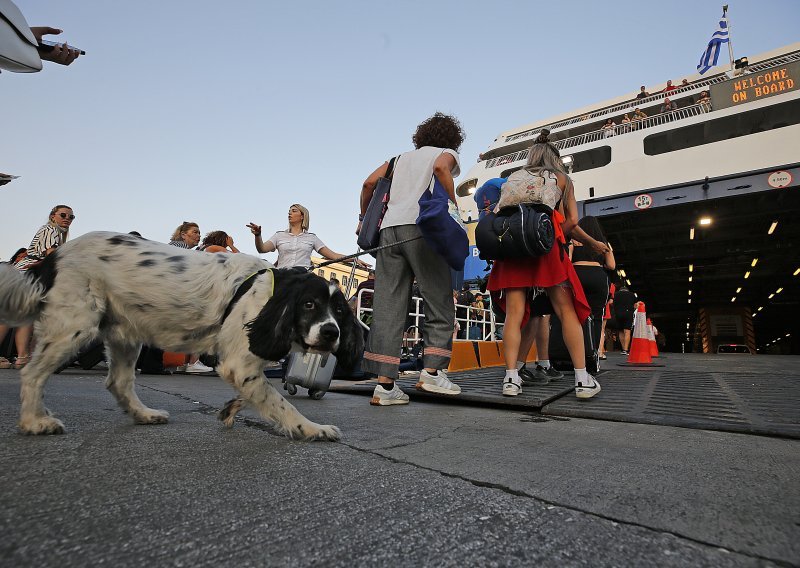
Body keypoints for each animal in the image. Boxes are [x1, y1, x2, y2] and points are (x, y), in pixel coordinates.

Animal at [0, 231, 362, 440]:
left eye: (340, 311)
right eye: (309, 304)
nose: (330, 333)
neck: (267, 291)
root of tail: (54, 257)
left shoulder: (240, 364)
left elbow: (258, 392)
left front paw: (231, 408)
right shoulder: (239, 362)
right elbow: (280, 403)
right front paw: (313, 429)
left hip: (124, 333)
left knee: (118, 382)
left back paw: (143, 415)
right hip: (75, 325)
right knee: (32, 373)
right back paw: (34, 422)